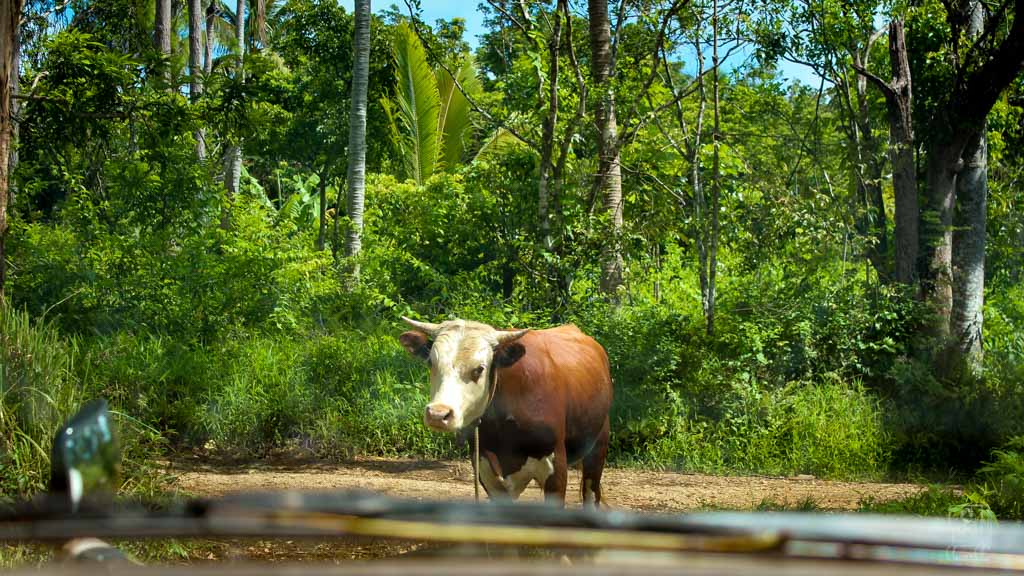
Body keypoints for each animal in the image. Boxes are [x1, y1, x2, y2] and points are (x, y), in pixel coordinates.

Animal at [399, 315, 610, 504]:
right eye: (431, 363)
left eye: (479, 369)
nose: (437, 414)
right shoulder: (487, 470)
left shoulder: (556, 470)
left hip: (597, 449)